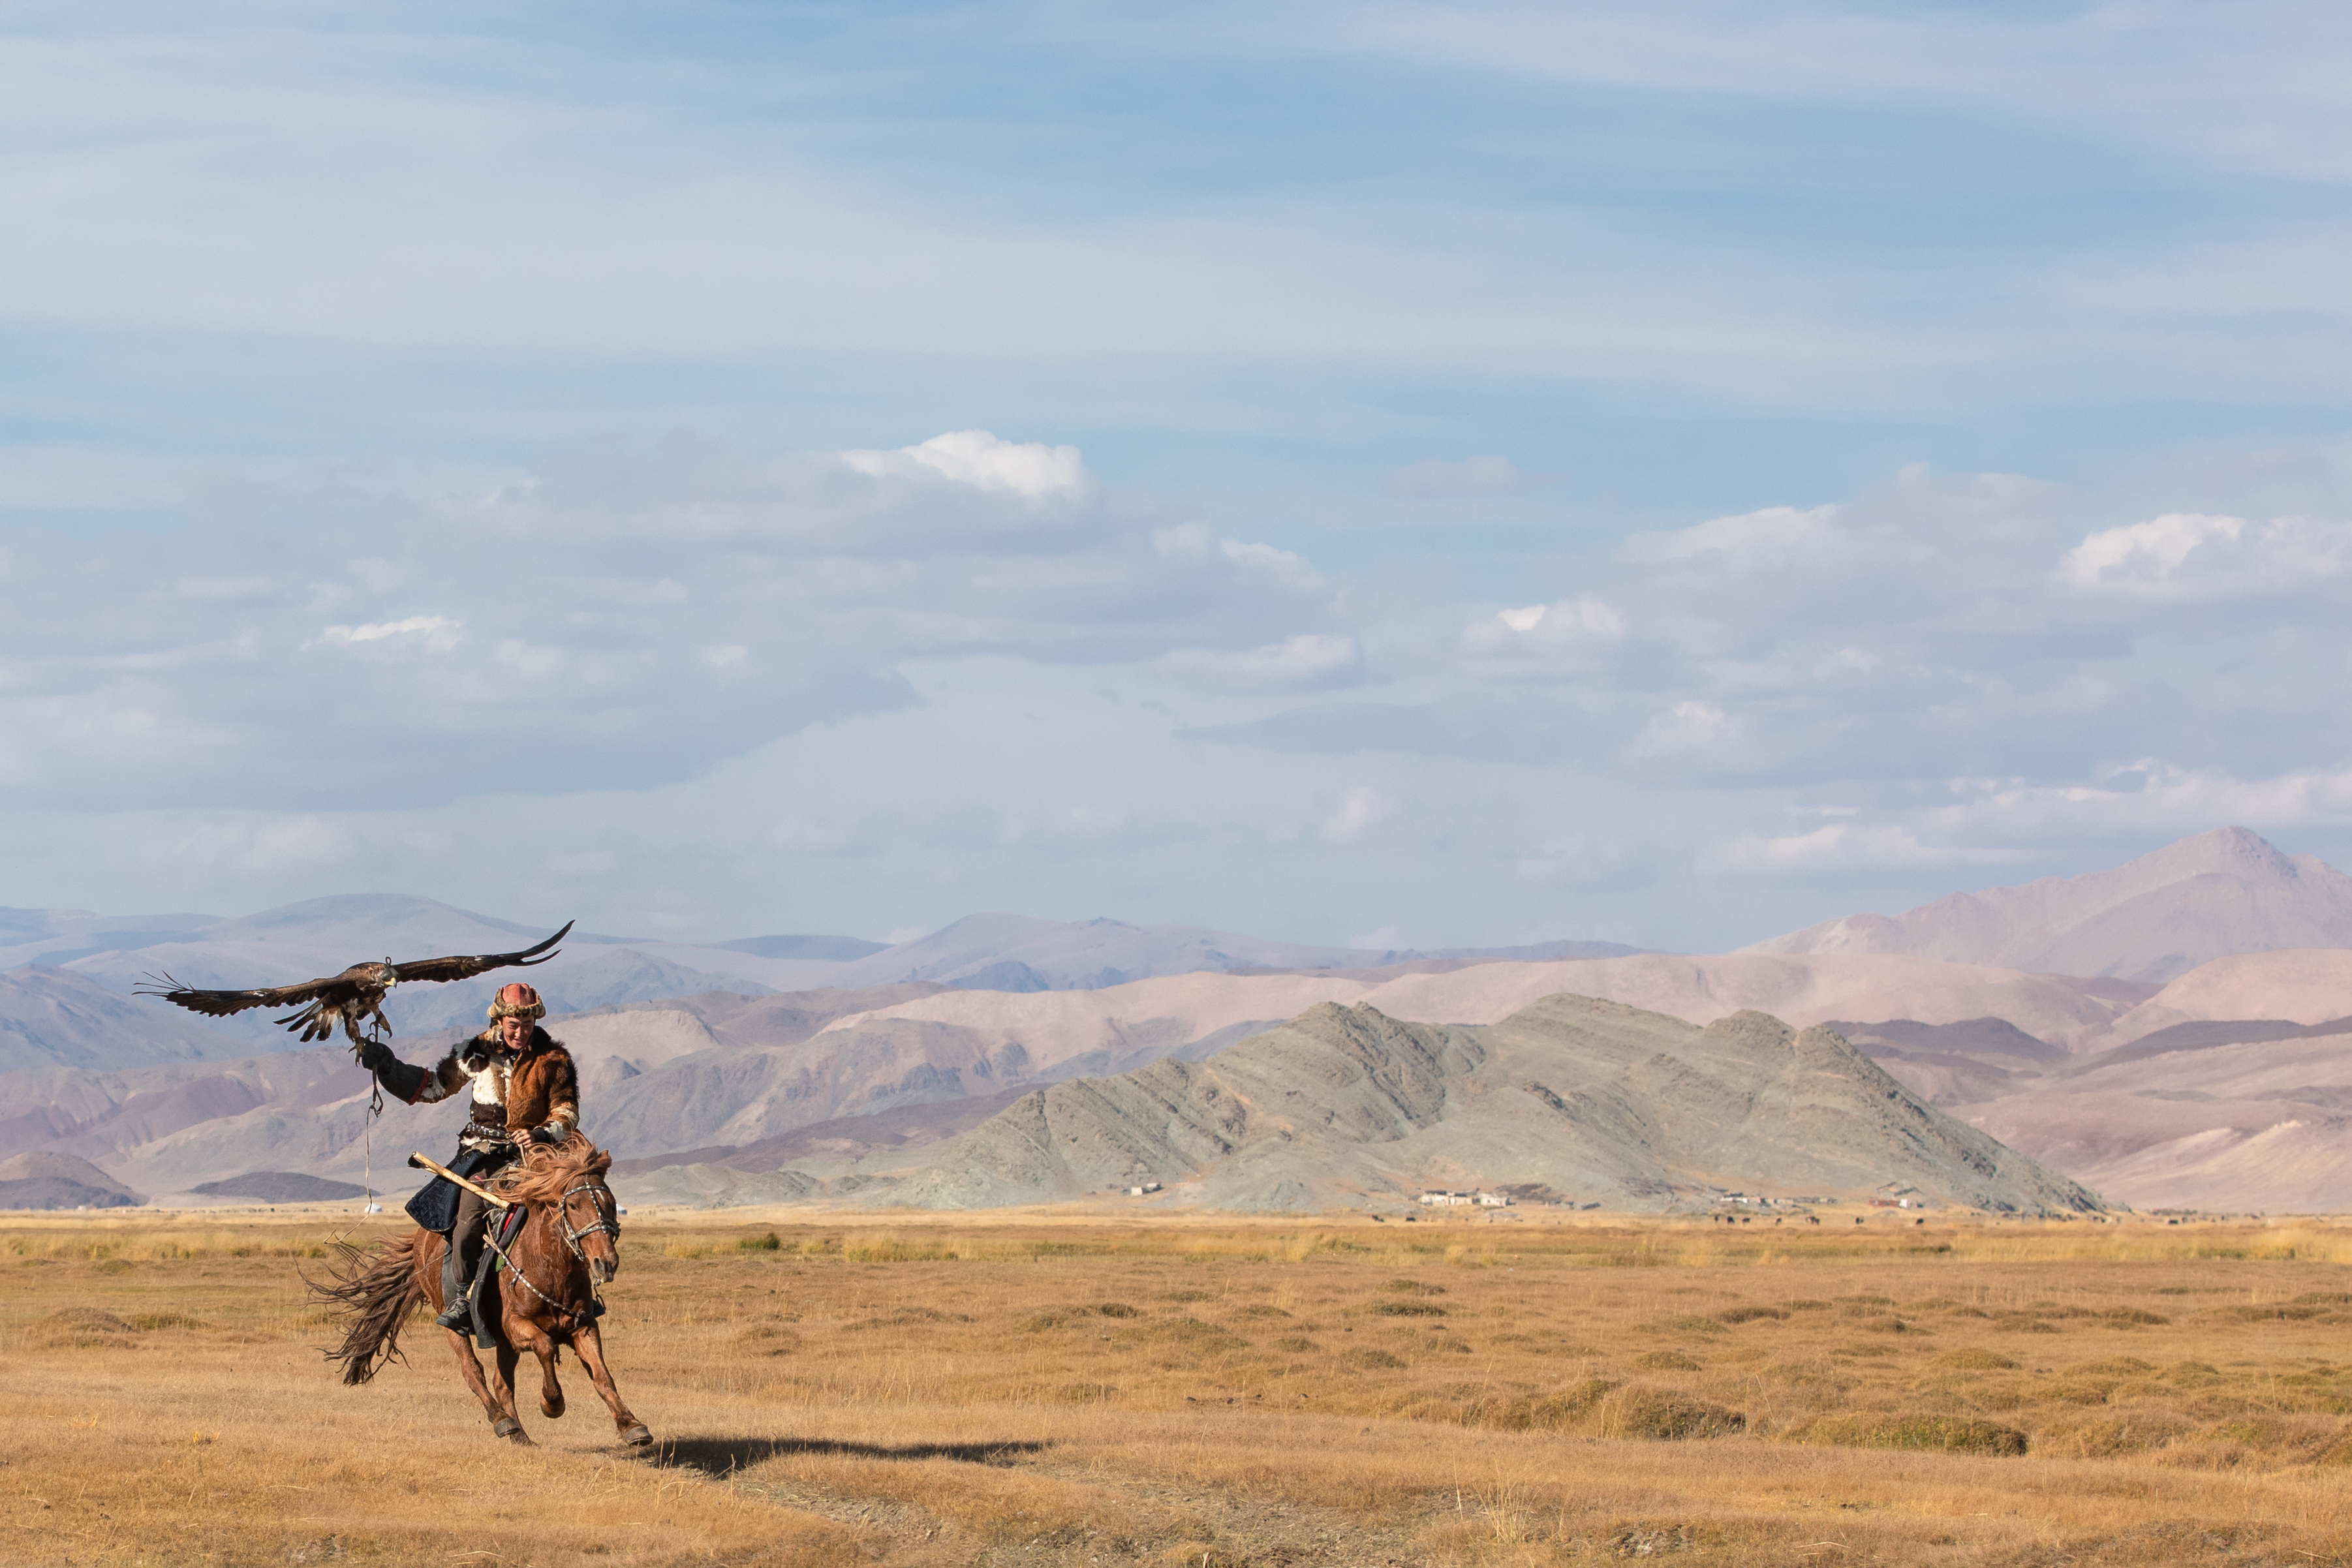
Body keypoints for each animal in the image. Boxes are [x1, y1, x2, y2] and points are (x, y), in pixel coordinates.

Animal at [305, 1133, 653, 1457]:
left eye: (611, 1202)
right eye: (572, 1205)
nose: (606, 1263)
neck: (549, 1266)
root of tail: (420, 1240)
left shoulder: (582, 1326)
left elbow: (602, 1375)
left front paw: (632, 1426)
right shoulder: (516, 1326)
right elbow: (545, 1346)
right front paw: (552, 1404)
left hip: (501, 1339)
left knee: (502, 1383)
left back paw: (519, 1434)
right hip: (453, 1323)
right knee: (473, 1372)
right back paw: (503, 1422)